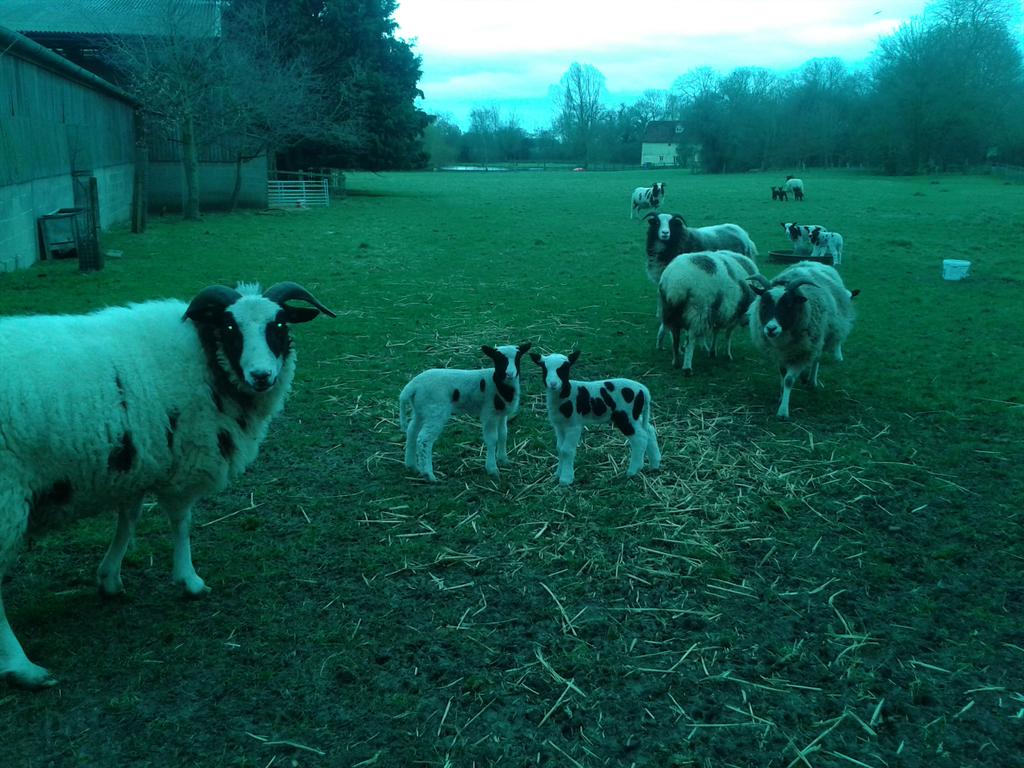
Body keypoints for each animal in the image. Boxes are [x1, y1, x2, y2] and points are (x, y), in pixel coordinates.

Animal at [0, 281, 336, 689]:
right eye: (229, 328)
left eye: (280, 324)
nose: (260, 376)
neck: (205, 356)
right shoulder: (185, 459)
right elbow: (181, 523)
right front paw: (189, 581)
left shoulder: (136, 461)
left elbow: (129, 518)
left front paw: (109, 578)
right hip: (5, 499)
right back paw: (23, 668)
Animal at [399, 343, 532, 482]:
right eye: (499, 359)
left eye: (518, 358)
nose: (510, 374)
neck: (500, 386)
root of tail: (411, 387)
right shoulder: (489, 414)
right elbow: (492, 439)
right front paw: (492, 469)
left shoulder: (501, 414)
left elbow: (503, 435)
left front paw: (503, 460)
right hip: (435, 411)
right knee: (424, 439)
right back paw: (429, 475)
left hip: (421, 410)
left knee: (411, 431)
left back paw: (412, 466)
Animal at [530, 351, 660, 486]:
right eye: (544, 368)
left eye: (565, 368)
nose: (553, 384)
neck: (566, 395)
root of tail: (644, 390)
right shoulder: (559, 426)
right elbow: (559, 449)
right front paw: (557, 474)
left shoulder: (574, 426)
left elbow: (566, 450)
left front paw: (566, 479)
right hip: (634, 415)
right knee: (649, 431)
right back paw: (655, 464)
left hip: (625, 416)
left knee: (640, 438)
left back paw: (633, 471)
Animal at [748, 262, 857, 419]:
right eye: (763, 304)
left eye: (788, 305)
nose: (771, 329)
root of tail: (813, 262)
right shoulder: (781, 354)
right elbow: (783, 375)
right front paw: (781, 396)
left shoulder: (802, 353)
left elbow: (788, 380)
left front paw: (783, 411)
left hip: (818, 341)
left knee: (816, 360)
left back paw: (811, 381)